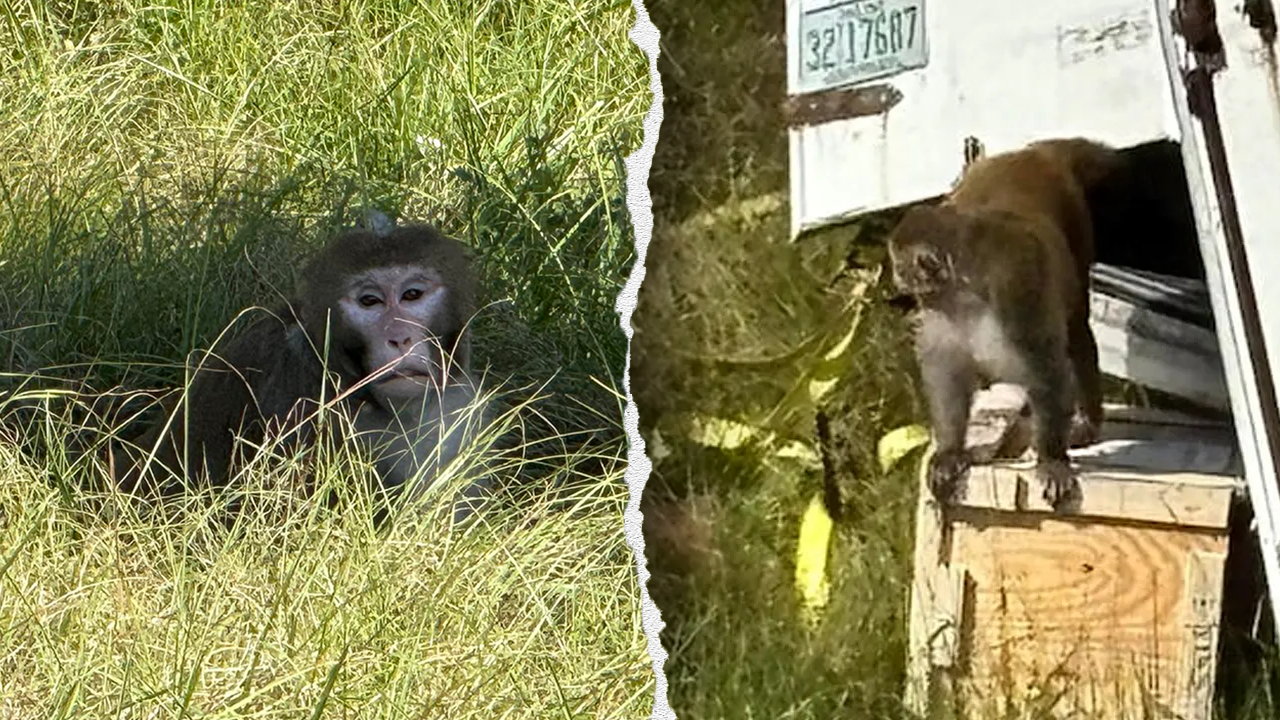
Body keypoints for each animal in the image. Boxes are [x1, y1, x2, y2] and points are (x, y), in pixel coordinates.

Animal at [886, 138, 1123, 510]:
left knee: (1075, 330)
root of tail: (1031, 153)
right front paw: (950, 451)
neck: (965, 289)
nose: (896, 279)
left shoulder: (1016, 288)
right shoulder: (941, 312)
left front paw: (1051, 460)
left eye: (900, 266)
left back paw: (1088, 421)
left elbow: (1045, 367)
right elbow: (948, 374)